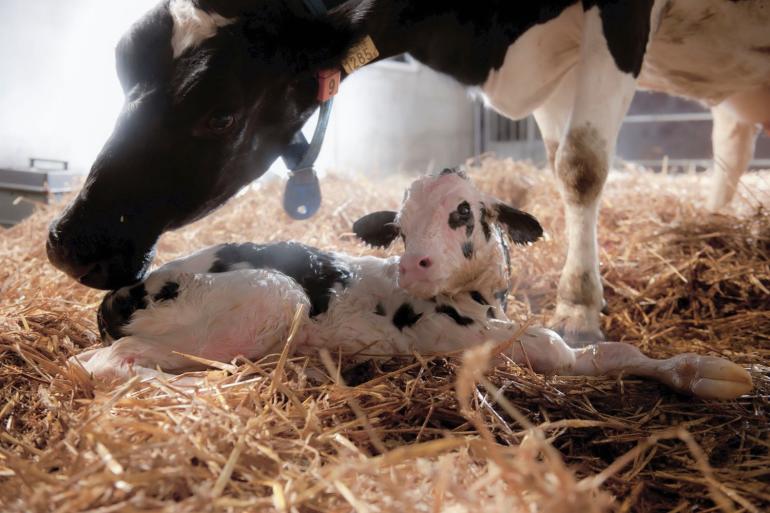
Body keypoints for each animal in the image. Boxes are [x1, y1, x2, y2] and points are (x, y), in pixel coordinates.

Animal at [46, 1, 768, 344]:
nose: (68, 242)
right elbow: (564, 156)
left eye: (220, 114)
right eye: (120, 68)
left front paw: (579, 307)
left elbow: (581, 164)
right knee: (732, 139)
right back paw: (715, 219)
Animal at [76, 170, 752, 398]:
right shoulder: (452, 341)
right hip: (270, 298)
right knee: (107, 361)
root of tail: (125, 291)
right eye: (399, 226)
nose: (412, 266)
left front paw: (718, 373)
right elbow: (562, 352)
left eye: (463, 213)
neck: (482, 306)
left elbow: (610, 350)